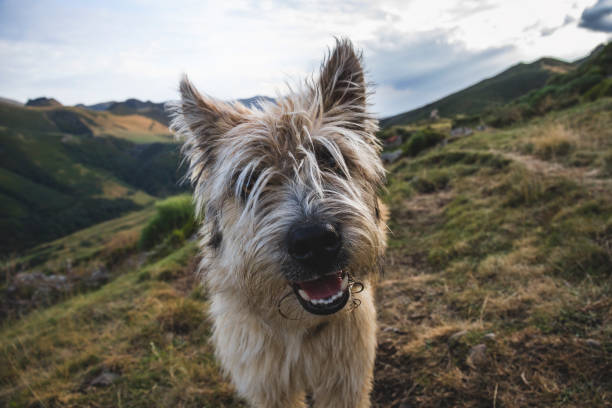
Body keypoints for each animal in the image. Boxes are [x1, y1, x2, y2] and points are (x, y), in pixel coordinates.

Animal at [170, 39, 384, 408]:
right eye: (248, 182)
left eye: (330, 160)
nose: (314, 241)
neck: (299, 325)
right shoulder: (266, 382)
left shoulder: (346, 376)